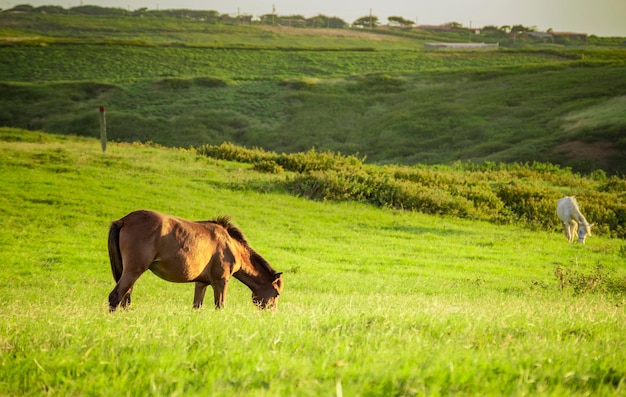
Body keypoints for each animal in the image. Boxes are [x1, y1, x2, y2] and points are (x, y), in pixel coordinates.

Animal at [107, 209, 282, 310]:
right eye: (276, 293)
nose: (272, 312)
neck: (231, 245)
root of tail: (123, 221)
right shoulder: (221, 282)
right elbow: (220, 306)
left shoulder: (201, 283)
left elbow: (197, 306)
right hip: (133, 270)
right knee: (115, 297)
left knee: (125, 299)